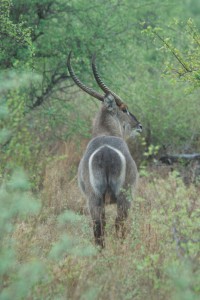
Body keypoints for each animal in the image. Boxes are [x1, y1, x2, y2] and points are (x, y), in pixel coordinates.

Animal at [67, 52, 142, 248]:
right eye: (124, 108)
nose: (139, 126)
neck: (106, 132)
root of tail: (105, 153)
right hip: (124, 196)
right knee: (119, 225)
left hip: (94, 198)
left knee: (98, 228)